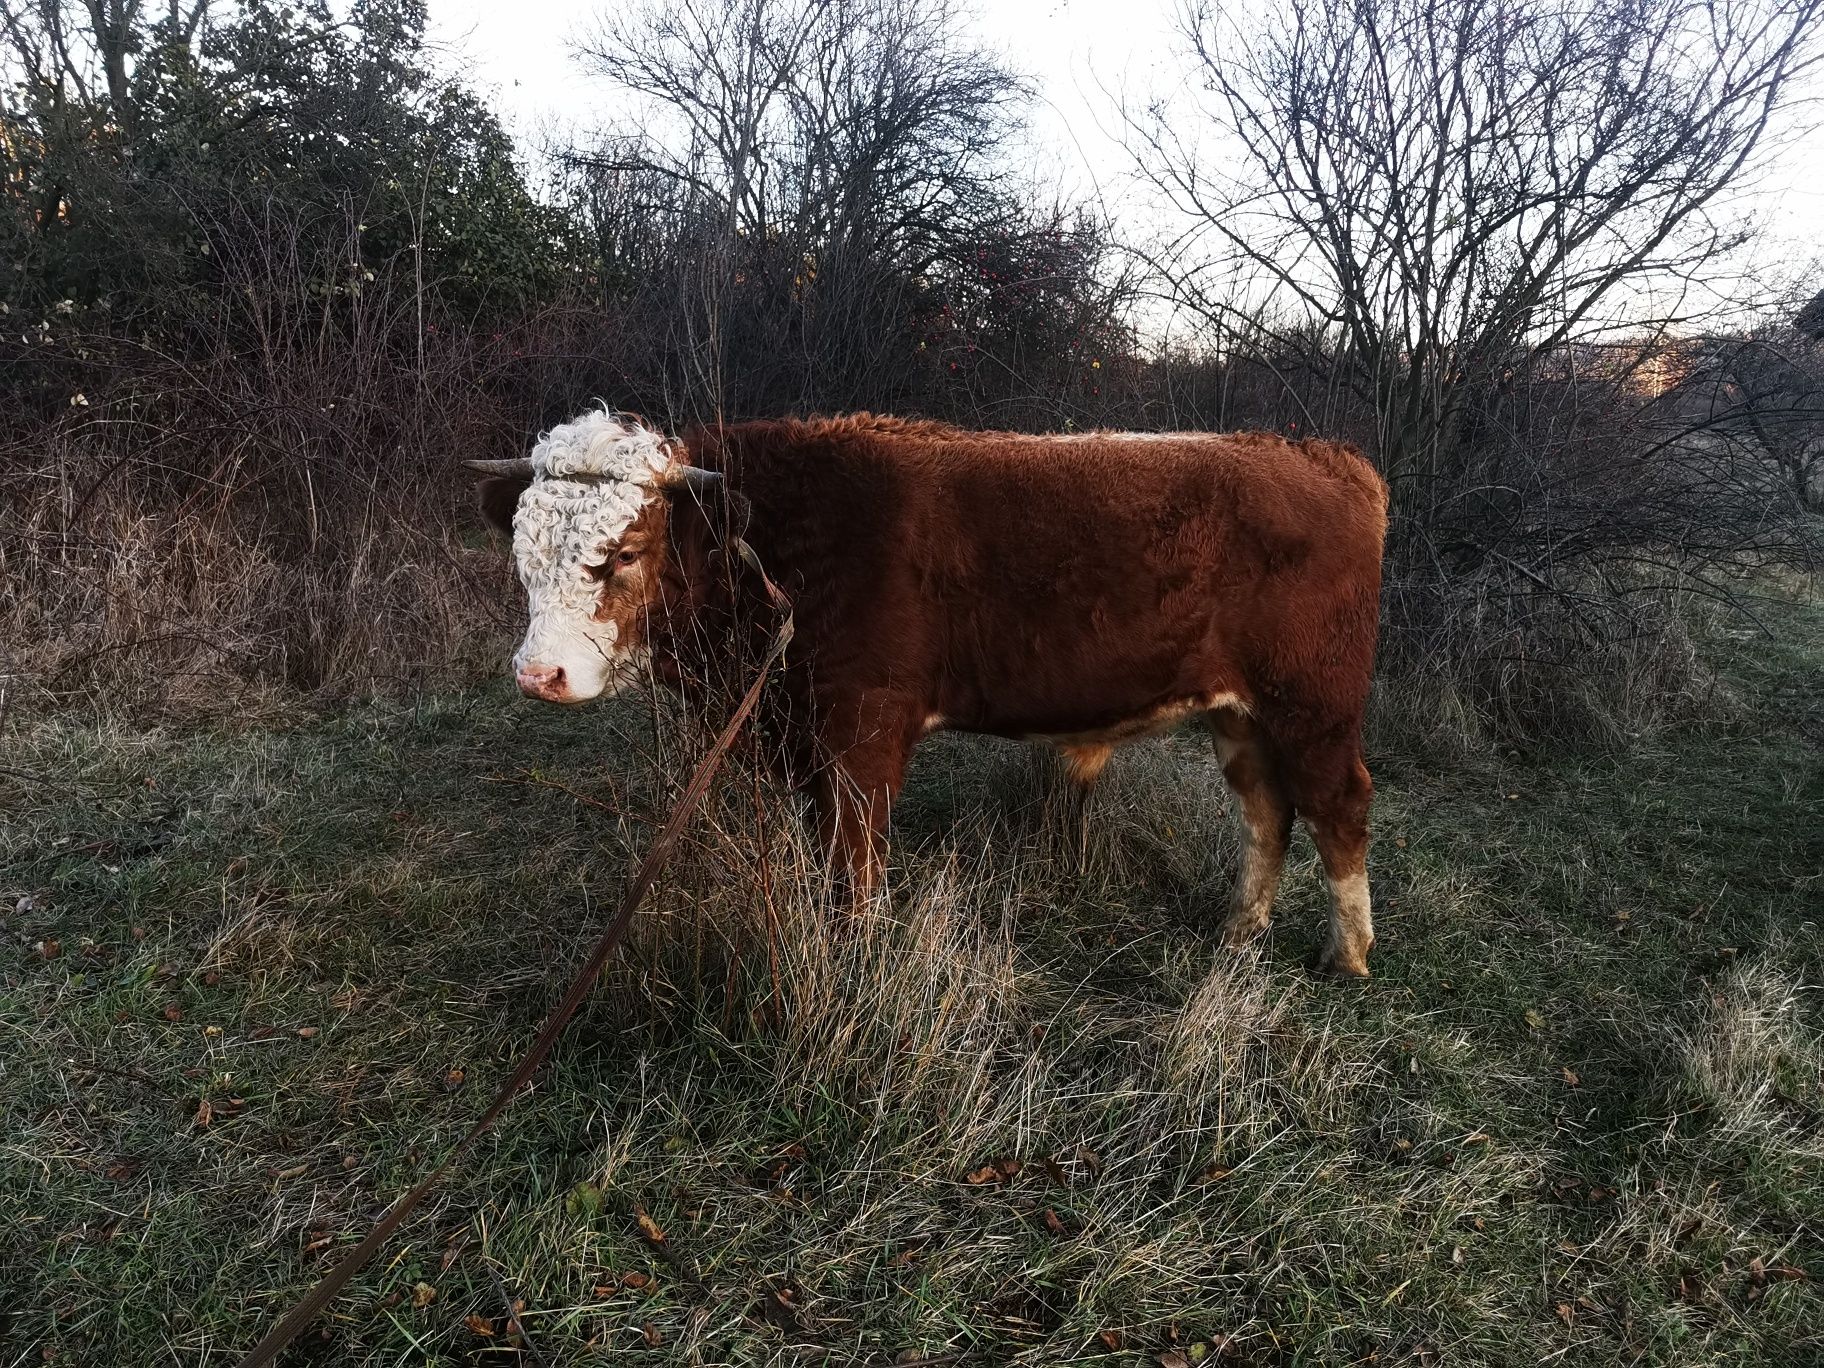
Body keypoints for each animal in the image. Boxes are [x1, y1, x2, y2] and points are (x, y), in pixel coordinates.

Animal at [466, 406, 1378, 977]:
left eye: (624, 554)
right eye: (522, 552)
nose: (538, 674)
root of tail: (1321, 456)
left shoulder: (861, 731)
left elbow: (854, 864)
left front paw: (854, 963)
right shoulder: (803, 736)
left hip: (1314, 705)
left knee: (1338, 805)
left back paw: (1347, 952)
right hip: (1241, 714)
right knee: (1267, 810)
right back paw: (1239, 931)